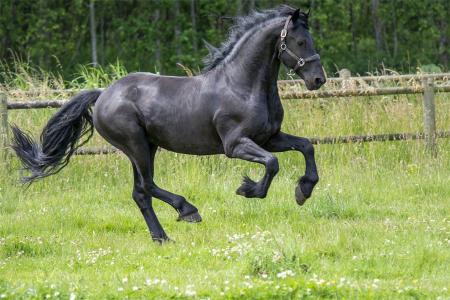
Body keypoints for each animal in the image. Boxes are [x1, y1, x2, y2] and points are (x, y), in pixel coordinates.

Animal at [10, 5, 326, 243]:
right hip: (136, 145)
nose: (318, 80)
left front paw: (304, 190)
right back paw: (188, 210)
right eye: (300, 42)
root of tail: (103, 94)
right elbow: (272, 163)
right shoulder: (235, 145)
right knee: (148, 186)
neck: (242, 85)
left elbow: (306, 147)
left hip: (146, 147)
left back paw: (162, 237)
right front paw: (249, 190)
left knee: (140, 193)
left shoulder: (270, 137)